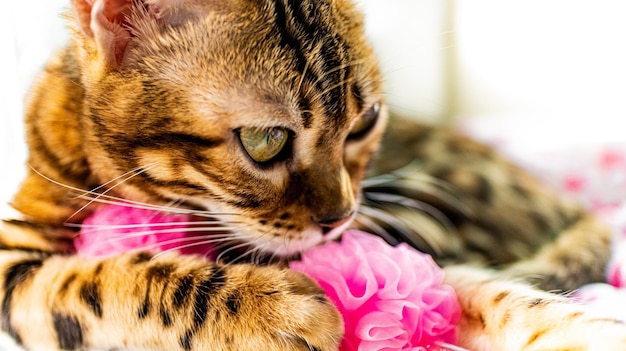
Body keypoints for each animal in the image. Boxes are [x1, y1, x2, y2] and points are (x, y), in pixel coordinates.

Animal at [3, 0, 624, 350]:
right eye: (265, 140)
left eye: (365, 122)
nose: (340, 217)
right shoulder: (17, 261)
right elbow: (111, 283)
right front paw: (269, 307)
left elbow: (487, 293)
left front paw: (583, 329)